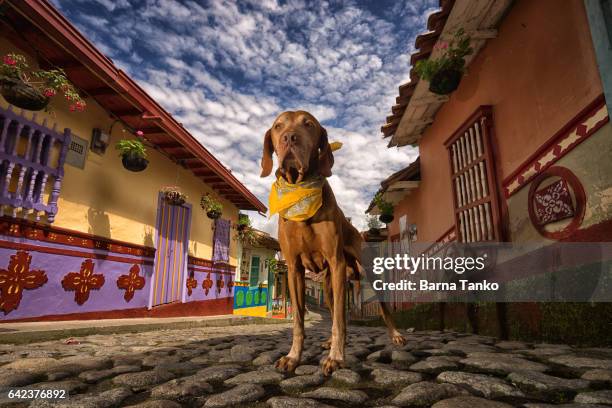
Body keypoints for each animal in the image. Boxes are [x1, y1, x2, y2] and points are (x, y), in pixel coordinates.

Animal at [260, 110, 406, 374]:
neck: (300, 189)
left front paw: (337, 358)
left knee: (377, 309)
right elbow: (299, 321)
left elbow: (339, 319)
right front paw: (293, 356)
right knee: (333, 308)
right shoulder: (294, 269)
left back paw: (395, 335)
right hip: (328, 286)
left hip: (363, 272)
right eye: (278, 126)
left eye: (308, 124)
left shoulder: (336, 263)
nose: (289, 138)